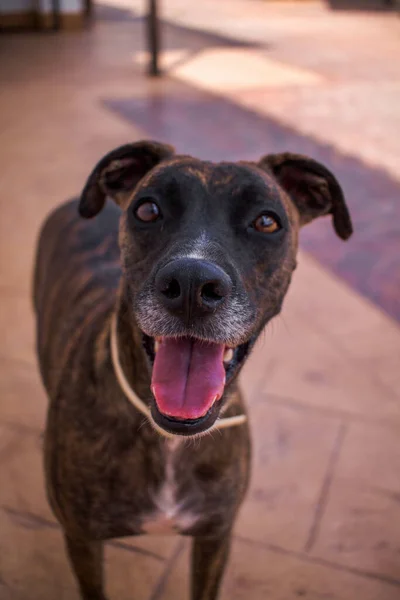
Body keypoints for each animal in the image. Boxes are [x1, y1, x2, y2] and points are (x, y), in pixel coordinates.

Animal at [34, 138, 354, 596]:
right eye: (147, 210)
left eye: (266, 221)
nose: (191, 284)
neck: (171, 441)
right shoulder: (81, 539)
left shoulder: (215, 536)